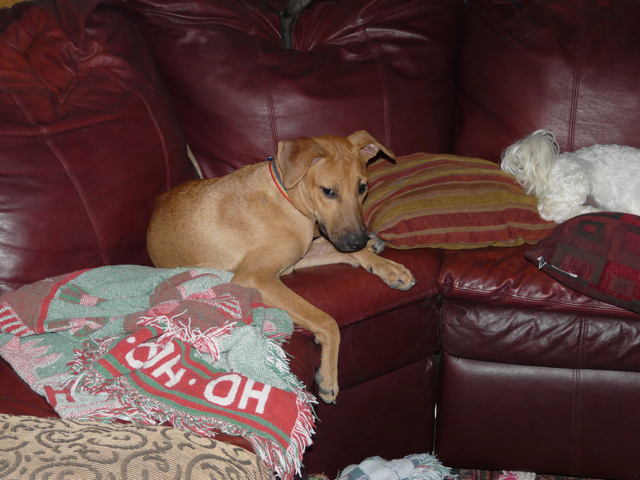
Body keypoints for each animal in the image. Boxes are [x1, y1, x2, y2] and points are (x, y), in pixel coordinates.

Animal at [145, 129, 416, 404]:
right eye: (328, 191)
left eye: (363, 187)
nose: (357, 240)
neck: (288, 198)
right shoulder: (256, 278)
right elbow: (326, 321)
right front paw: (329, 377)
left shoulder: (295, 260)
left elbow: (338, 252)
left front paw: (390, 268)